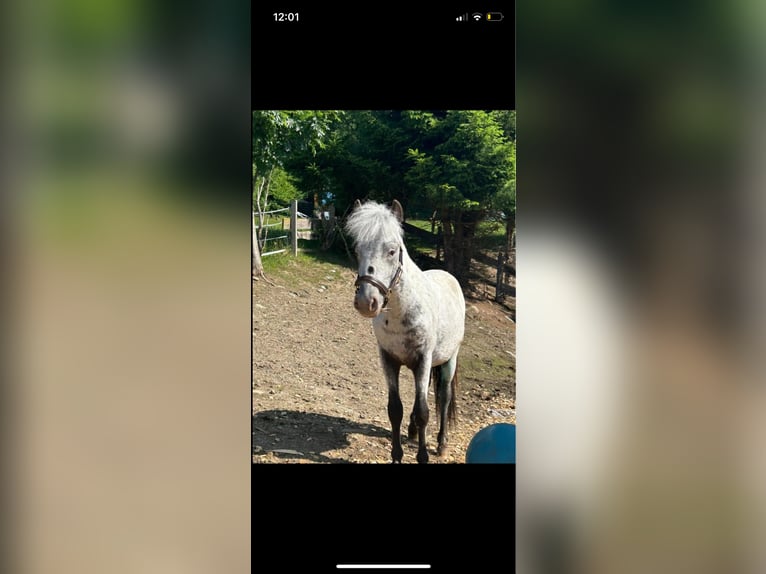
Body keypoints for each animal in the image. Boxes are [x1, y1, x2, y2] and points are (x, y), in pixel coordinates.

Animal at [345, 199, 466, 463]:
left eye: (392, 251)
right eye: (357, 250)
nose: (366, 302)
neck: (402, 313)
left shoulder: (423, 359)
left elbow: (423, 412)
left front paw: (422, 456)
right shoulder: (389, 360)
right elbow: (395, 409)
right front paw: (397, 455)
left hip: (448, 360)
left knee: (443, 397)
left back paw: (441, 443)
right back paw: (412, 432)